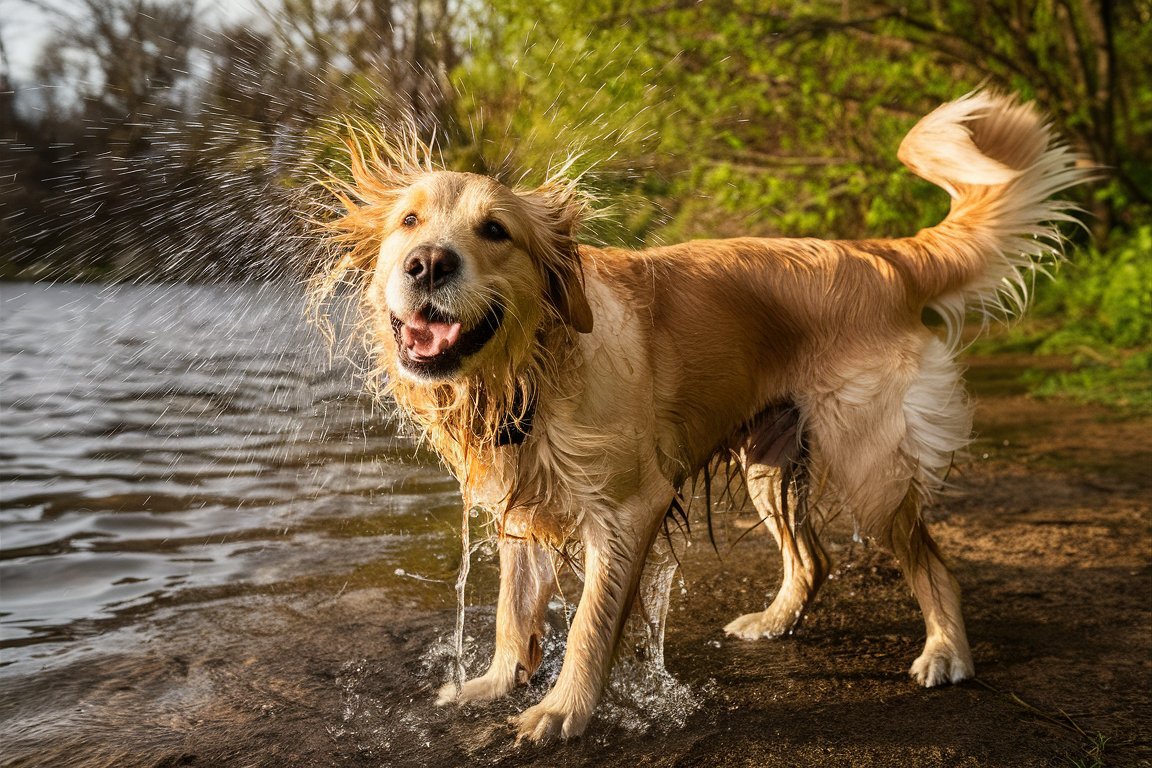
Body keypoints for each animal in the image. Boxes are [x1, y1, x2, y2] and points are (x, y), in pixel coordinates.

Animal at [313, 91, 1087, 746]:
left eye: (496, 230)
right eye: (408, 221)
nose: (426, 263)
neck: (532, 369)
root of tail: (884, 255)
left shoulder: (630, 506)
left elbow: (590, 624)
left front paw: (563, 710)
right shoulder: (522, 503)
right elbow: (512, 611)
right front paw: (492, 684)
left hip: (870, 465)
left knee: (932, 564)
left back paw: (946, 651)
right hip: (769, 458)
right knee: (814, 560)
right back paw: (774, 622)